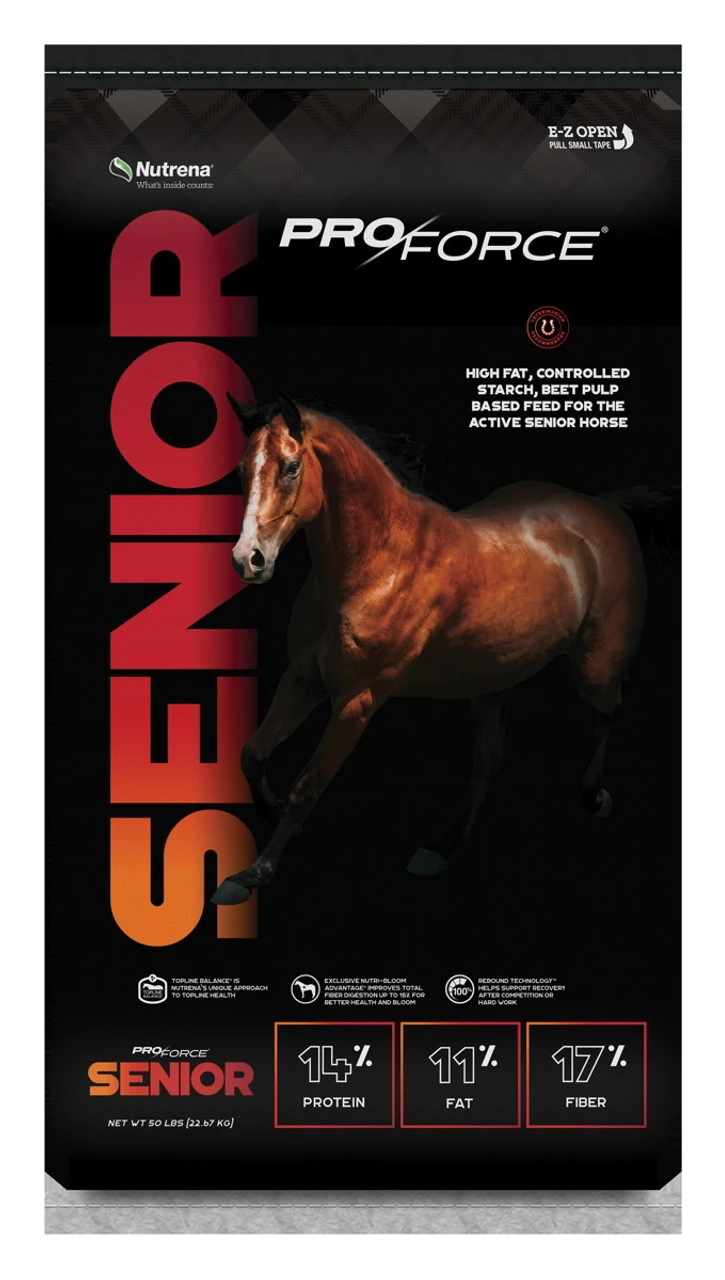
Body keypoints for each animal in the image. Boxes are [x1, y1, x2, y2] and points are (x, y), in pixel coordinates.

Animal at [211, 394, 677, 905]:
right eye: (240, 469)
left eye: (291, 467)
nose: (248, 560)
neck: (378, 565)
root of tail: (605, 509)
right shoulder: (301, 680)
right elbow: (252, 755)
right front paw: (274, 817)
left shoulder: (357, 701)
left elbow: (306, 788)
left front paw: (249, 876)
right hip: (494, 681)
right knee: (489, 759)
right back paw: (441, 848)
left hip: (594, 668)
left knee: (611, 706)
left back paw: (593, 796)